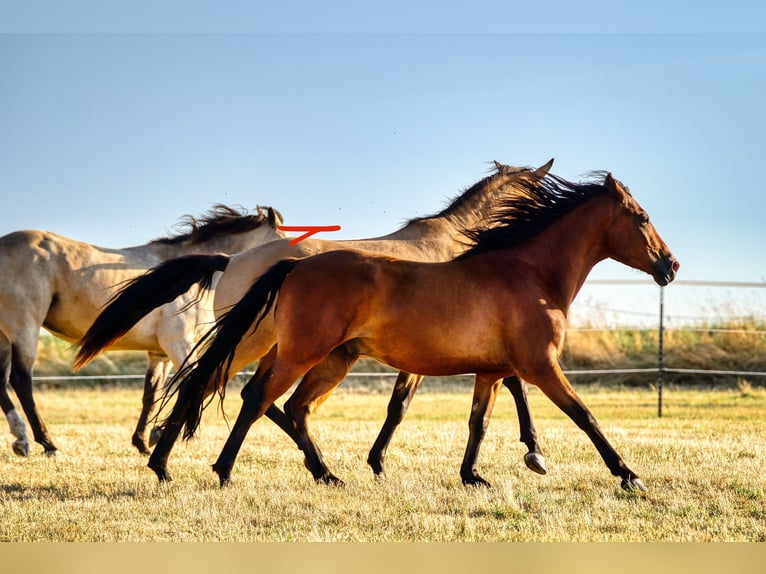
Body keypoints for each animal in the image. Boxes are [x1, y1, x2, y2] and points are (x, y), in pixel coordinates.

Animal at [0, 205, 284, 456]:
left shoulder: (160, 353)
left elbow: (151, 394)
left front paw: (143, 441)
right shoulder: (178, 343)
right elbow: (193, 379)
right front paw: (159, 434)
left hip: (4, 337)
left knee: (3, 382)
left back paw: (21, 440)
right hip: (25, 329)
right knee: (21, 381)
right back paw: (47, 443)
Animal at [76, 160, 552, 480]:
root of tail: (233, 259)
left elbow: (402, 406)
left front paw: (377, 462)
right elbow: (511, 385)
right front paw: (533, 451)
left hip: (280, 349)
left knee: (243, 392)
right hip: (257, 343)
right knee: (217, 384)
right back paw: (167, 461)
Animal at [153, 169, 680, 492]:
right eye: (642, 217)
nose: (671, 266)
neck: (530, 274)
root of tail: (292, 265)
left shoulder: (492, 371)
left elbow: (478, 422)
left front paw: (473, 476)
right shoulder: (540, 365)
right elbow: (584, 415)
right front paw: (628, 475)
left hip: (331, 359)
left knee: (293, 407)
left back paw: (326, 474)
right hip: (296, 353)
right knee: (255, 398)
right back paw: (219, 470)